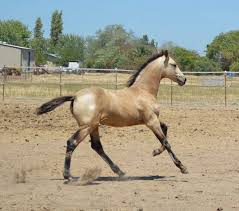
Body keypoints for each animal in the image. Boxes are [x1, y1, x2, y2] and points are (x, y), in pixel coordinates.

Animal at [36, 49, 188, 180]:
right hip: (86, 127)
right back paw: (68, 176)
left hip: (93, 126)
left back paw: (120, 172)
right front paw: (182, 167)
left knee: (97, 146)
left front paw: (155, 152)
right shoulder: (151, 121)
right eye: (174, 65)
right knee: (72, 142)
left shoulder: (152, 120)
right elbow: (166, 141)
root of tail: (75, 96)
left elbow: (165, 129)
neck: (144, 91)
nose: (184, 79)